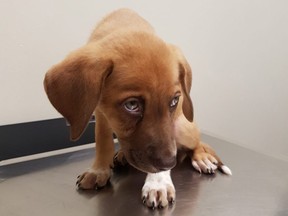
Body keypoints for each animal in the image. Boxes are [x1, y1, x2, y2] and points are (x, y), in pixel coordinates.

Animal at [43, 8, 232, 209]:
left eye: (174, 101)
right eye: (132, 105)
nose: (169, 164)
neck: (125, 24)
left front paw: (158, 183)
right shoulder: (100, 112)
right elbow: (102, 140)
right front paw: (99, 170)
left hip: (184, 128)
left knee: (196, 144)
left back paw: (201, 158)